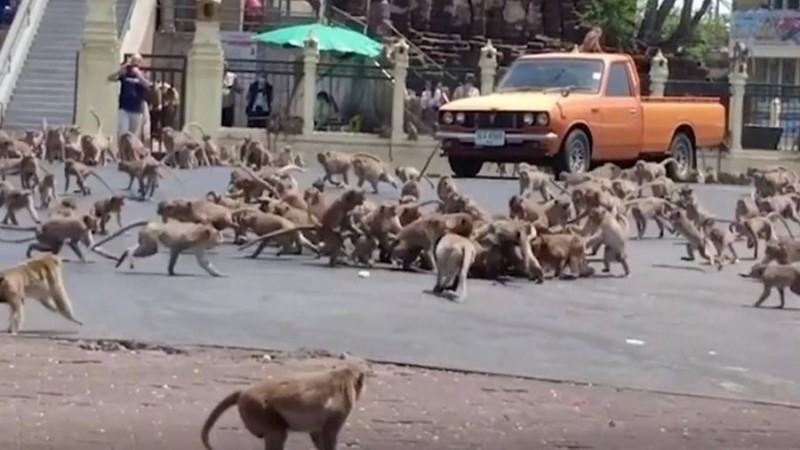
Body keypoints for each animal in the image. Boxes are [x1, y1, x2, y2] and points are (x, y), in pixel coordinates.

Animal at [92, 220, 227, 276]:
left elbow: (202, 262)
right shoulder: (188, 239)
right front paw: (171, 270)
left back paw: (124, 254)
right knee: (150, 250)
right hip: (151, 235)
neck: (201, 232)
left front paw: (217, 273)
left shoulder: (198, 244)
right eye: (218, 235)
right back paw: (129, 255)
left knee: (143, 247)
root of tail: (149, 223)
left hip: (145, 235)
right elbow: (176, 248)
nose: (222, 240)